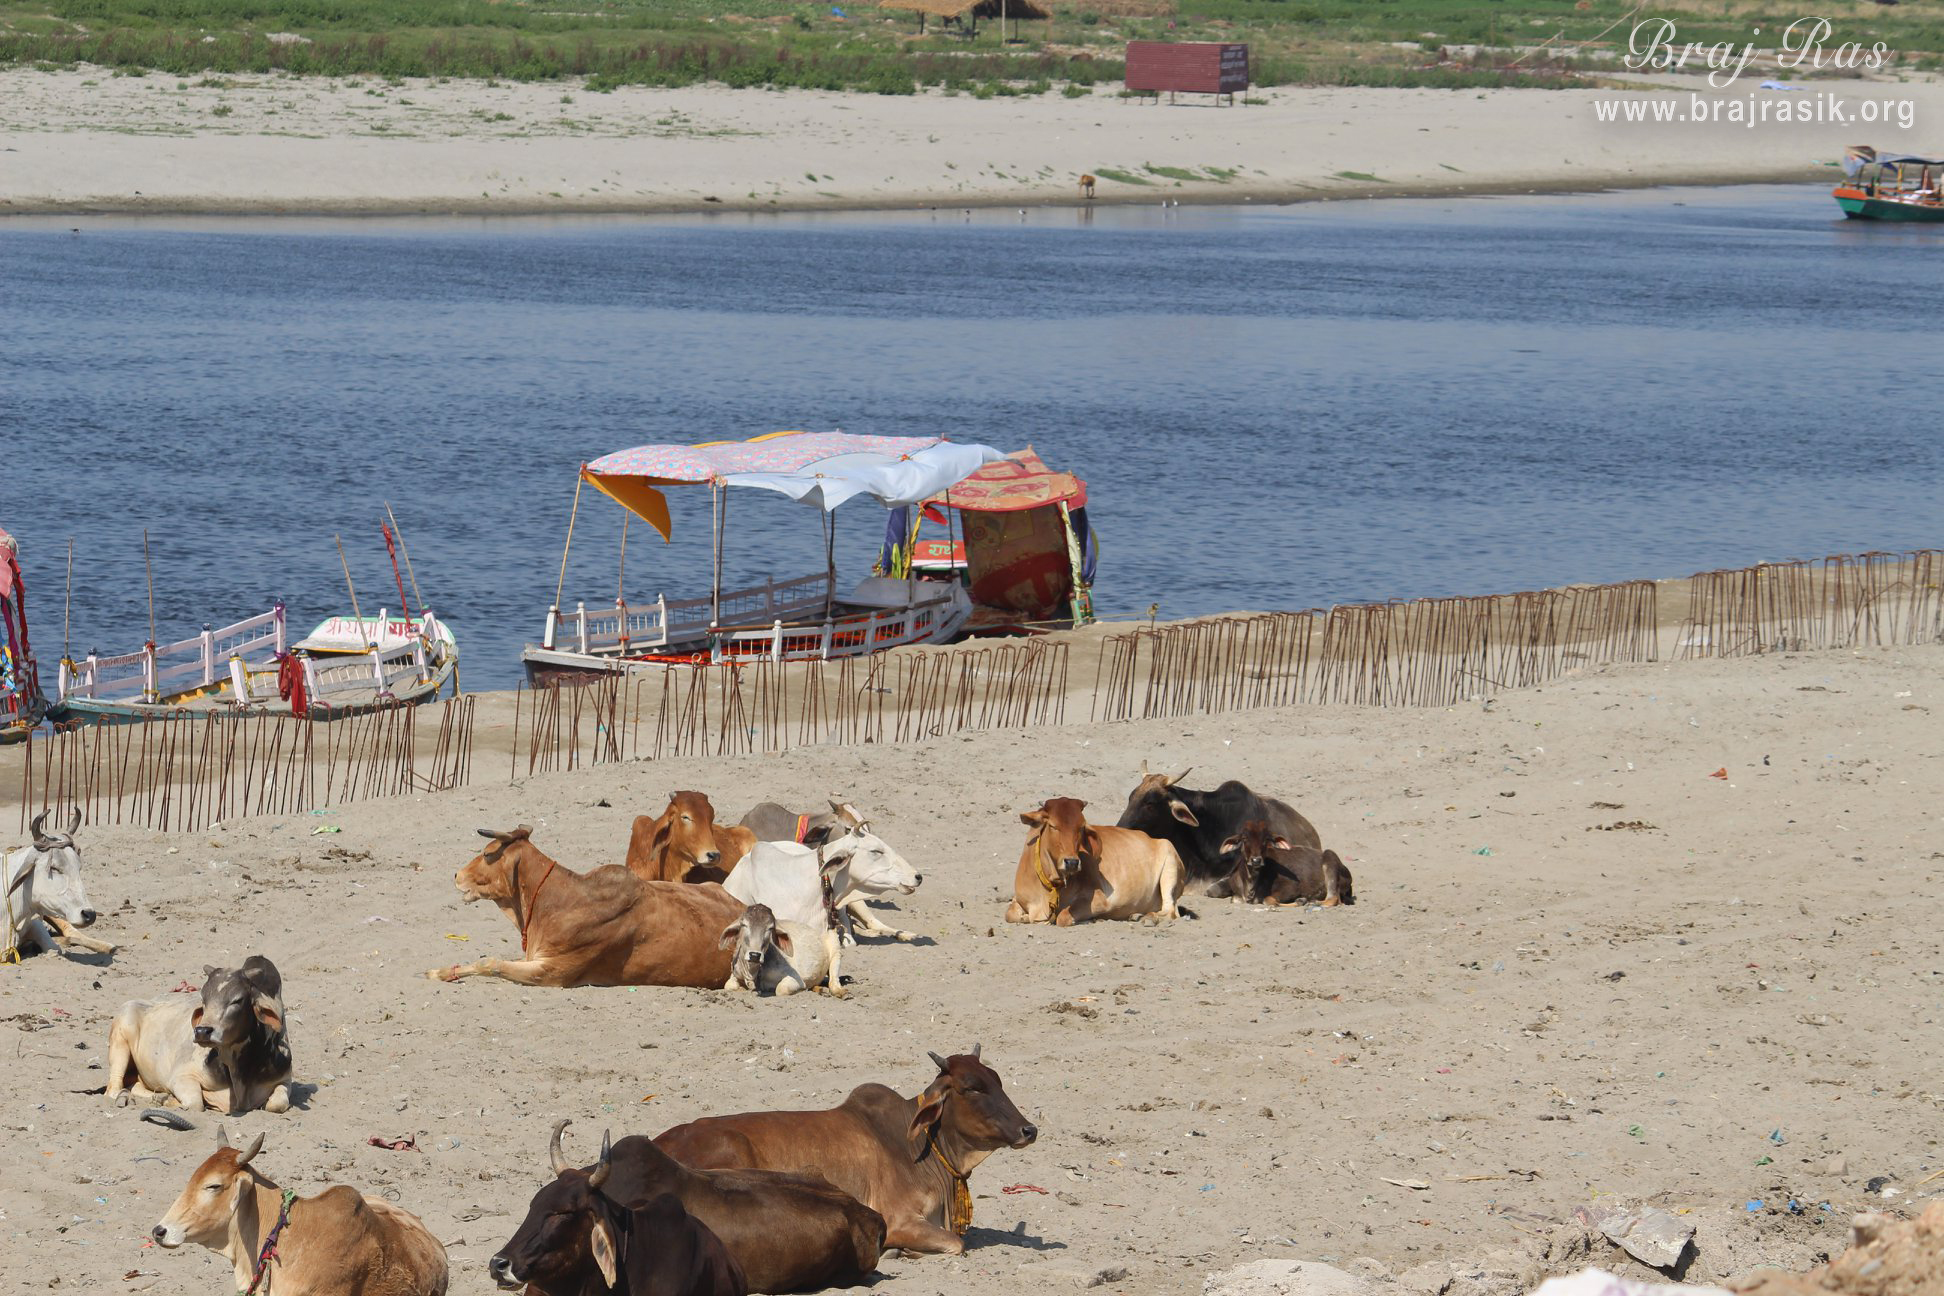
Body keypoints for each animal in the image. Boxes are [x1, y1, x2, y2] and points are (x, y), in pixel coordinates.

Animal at [3, 808, 112, 959]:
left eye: (79, 867)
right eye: (54, 868)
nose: (90, 915)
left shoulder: (35, 922)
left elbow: (54, 949)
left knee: (70, 931)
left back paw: (109, 947)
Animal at [107, 955, 294, 1113]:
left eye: (237, 1000)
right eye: (203, 999)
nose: (202, 1031)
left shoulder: (285, 1079)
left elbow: (277, 1104)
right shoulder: (182, 1076)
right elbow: (195, 1103)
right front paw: (168, 1099)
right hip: (122, 1033)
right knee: (113, 1089)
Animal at [654, 1046, 1036, 1257]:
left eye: (998, 1081)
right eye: (971, 1088)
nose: (1029, 1130)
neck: (919, 1146)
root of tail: (661, 1142)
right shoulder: (899, 1218)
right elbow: (956, 1244)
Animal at [1006, 797, 1184, 926]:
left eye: (1081, 827)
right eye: (1053, 826)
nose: (1072, 862)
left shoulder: (1099, 900)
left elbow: (1062, 917)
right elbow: (1010, 915)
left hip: (1170, 865)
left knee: (1170, 911)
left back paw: (1148, 917)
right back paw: (1136, 914)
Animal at [1212, 818, 1354, 907]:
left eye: (1266, 839)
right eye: (1244, 838)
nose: (1256, 860)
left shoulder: (1291, 888)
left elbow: (1268, 900)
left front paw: (1301, 901)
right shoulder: (1236, 897)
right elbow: (1234, 900)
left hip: (1330, 861)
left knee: (1333, 899)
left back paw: (1312, 902)